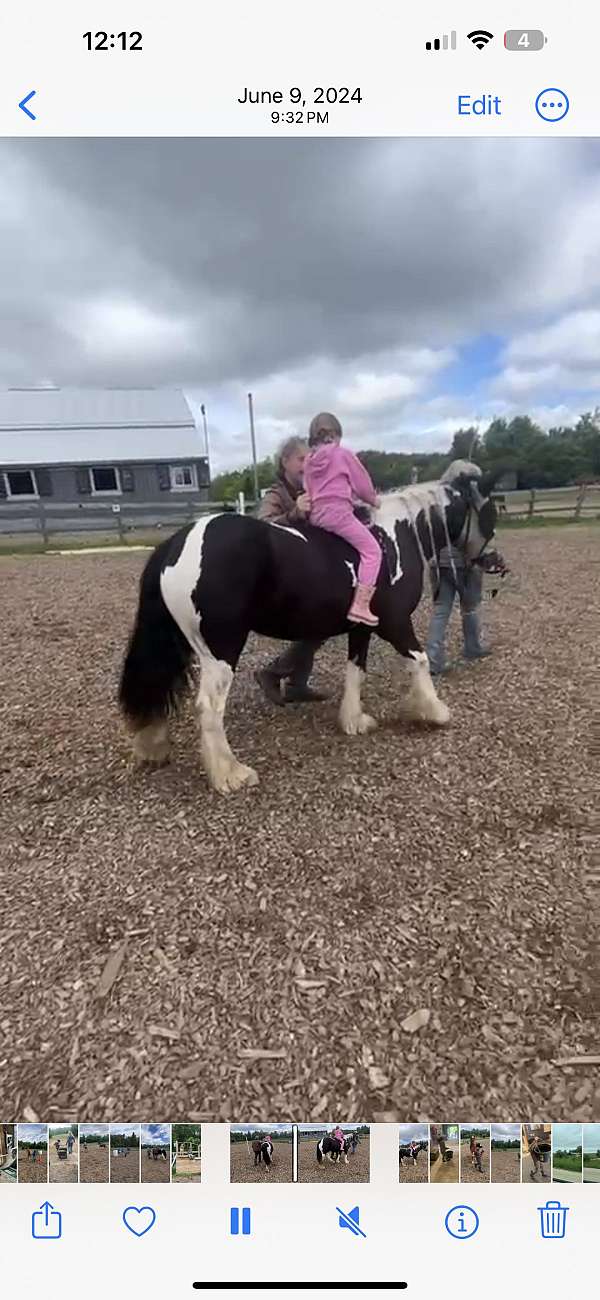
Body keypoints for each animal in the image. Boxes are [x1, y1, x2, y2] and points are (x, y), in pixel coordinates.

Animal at [116, 462, 496, 795]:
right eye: (490, 513)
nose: (490, 562)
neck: (393, 536)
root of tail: (178, 543)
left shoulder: (361, 629)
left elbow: (355, 672)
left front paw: (354, 721)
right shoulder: (395, 624)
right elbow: (419, 661)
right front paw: (435, 712)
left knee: (156, 684)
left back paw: (154, 749)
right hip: (221, 651)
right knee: (208, 708)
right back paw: (230, 774)